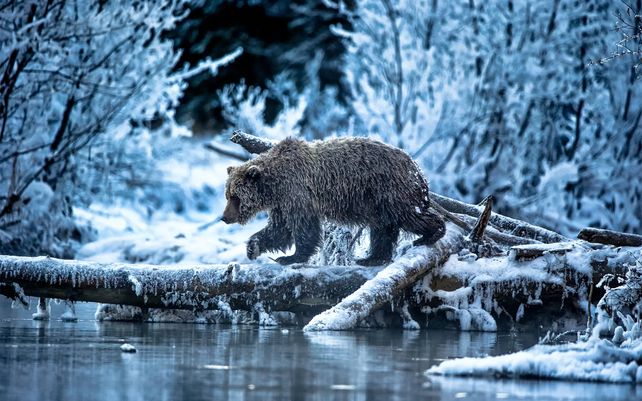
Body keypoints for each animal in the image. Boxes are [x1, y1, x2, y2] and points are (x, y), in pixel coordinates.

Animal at [222, 137, 446, 266]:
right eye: (228, 195)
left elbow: (304, 228)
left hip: (389, 190)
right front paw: (253, 247)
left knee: (407, 216)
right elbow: (279, 230)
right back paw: (371, 258)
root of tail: (417, 169)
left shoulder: (298, 193)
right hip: (377, 200)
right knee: (383, 228)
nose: (224, 217)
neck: (275, 185)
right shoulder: (282, 203)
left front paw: (292, 256)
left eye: (235, 197)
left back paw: (431, 233)